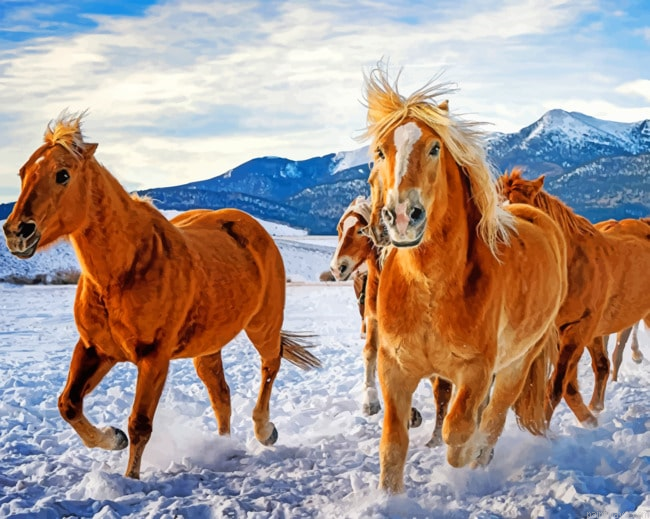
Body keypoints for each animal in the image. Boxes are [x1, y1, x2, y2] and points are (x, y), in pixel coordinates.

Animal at [2, 113, 321, 479]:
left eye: (62, 174)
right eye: (23, 172)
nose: (16, 232)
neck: (123, 272)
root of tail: (248, 225)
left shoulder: (153, 357)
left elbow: (140, 423)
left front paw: (131, 479)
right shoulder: (95, 349)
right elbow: (68, 404)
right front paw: (113, 438)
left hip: (263, 325)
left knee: (270, 365)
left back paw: (264, 431)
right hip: (208, 346)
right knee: (221, 395)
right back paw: (223, 448)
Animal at [329, 196, 452, 445]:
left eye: (359, 231)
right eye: (339, 229)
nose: (337, 268)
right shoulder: (373, 319)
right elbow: (370, 353)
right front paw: (371, 401)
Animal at [360, 67, 567, 493]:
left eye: (435, 148)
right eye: (380, 151)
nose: (402, 216)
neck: (429, 289)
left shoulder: (475, 372)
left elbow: (458, 432)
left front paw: (467, 459)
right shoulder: (394, 369)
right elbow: (393, 445)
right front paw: (389, 498)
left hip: (517, 363)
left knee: (494, 416)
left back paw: (482, 460)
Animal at [499, 169, 650, 426]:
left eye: (522, 213)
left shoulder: (577, 330)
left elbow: (557, 386)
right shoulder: (562, 335)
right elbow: (568, 385)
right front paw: (589, 420)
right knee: (603, 364)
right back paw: (596, 406)